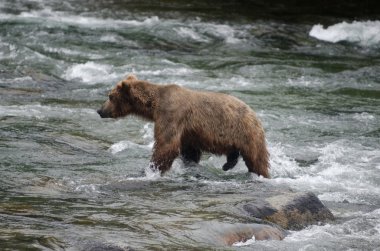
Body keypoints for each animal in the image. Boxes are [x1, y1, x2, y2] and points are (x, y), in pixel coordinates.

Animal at [98, 74, 270, 178]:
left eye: (110, 96)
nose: (100, 110)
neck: (153, 105)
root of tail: (255, 115)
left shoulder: (171, 115)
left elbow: (166, 145)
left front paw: (151, 169)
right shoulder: (188, 132)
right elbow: (189, 151)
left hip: (246, 132)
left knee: (257, 159)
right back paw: (227, 165)